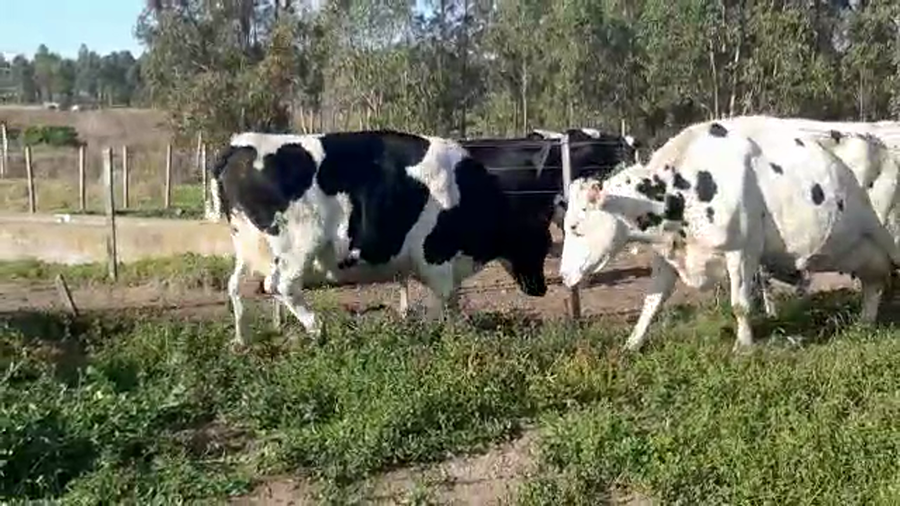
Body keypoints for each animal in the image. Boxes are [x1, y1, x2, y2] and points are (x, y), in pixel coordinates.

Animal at [210, 130, 552, 347]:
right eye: (540, 242)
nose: (542, 289)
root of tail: (240, 144)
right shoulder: (435, 256)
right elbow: (443, 297)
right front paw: (434, 332)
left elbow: (453, 299)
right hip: (298, 244)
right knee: (281, 285)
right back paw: (317, 329)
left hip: (245, 242)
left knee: (235, 286)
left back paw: (241, 339)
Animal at [558, 120, 900, 352]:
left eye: (575, 227)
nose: (562, 276)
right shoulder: (669, 255)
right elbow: (651, 301)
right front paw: (632, 343)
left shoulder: (742, 250)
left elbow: (740, 304)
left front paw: (744, 346)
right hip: (864, 249)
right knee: (874, 283)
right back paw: (864, 324)